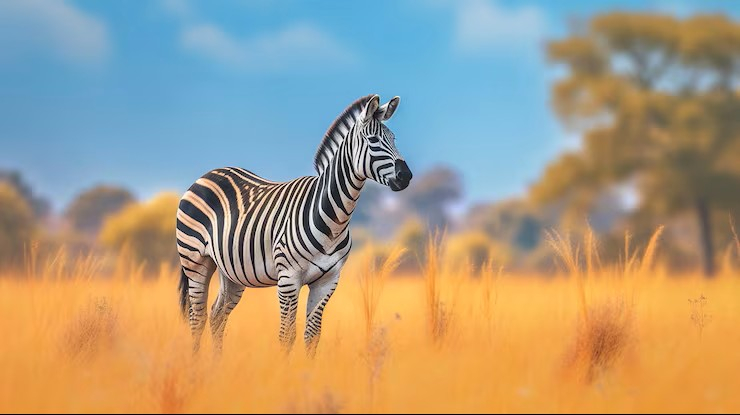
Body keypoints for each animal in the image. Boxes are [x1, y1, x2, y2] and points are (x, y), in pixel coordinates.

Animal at [176, 94, 413, 354]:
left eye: (393, 139)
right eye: (373, 140)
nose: (406, 176)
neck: (334, 219)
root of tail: (207, 174)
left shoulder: (327, 281)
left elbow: (312, 336)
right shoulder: (288, 278)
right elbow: (287, 336)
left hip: (231, 271)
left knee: (217, 316)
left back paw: (216, 364)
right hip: (195, 260)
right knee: (197, 319)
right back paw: (196, 365)